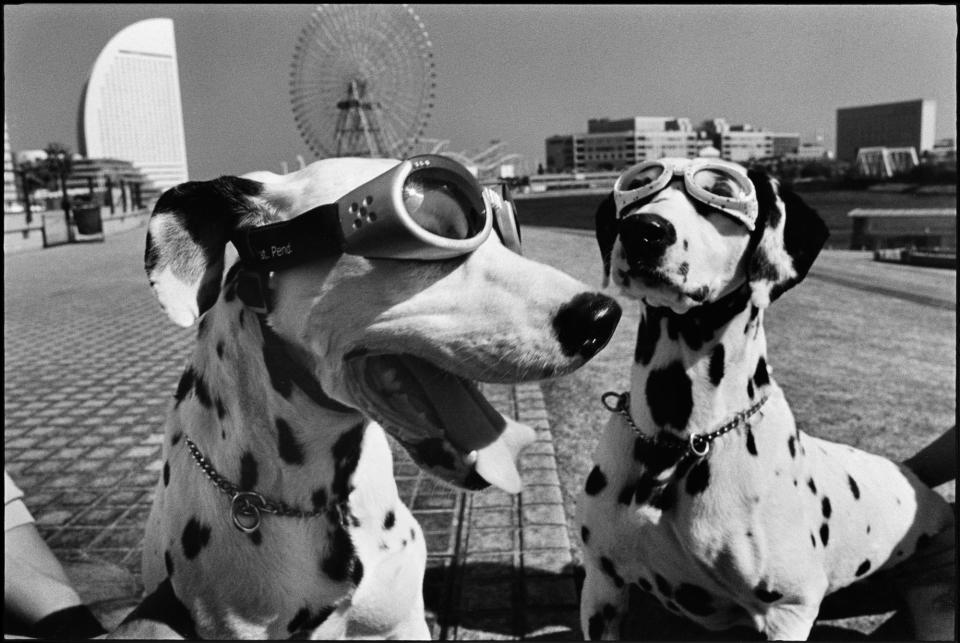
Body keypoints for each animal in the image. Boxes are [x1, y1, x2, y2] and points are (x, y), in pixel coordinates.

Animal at [572, 158, 956, 640]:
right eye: (639, 186)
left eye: (719, 191)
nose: (643, 229)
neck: (679, 440)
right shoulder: (602, 588)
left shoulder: (788, 611)